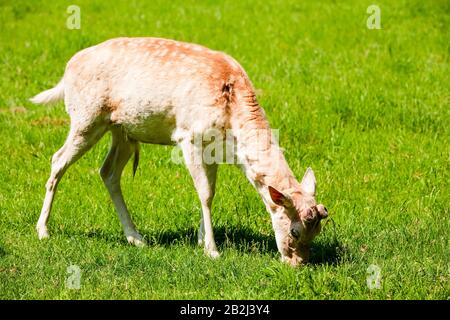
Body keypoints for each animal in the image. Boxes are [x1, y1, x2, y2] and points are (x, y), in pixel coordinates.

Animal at [30, 37, 326, 266]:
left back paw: (136, 237)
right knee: (58, 160)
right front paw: (212, 250)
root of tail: (67, 69)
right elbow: (205, 193)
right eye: (295, 231)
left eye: (318, 232)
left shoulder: (213, 150)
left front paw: (200, 239)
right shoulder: (188, 136)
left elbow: (210, 192)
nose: (299, 263)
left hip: (122, 131)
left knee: (108, 172)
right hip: (86, 117)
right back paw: (43, 230)